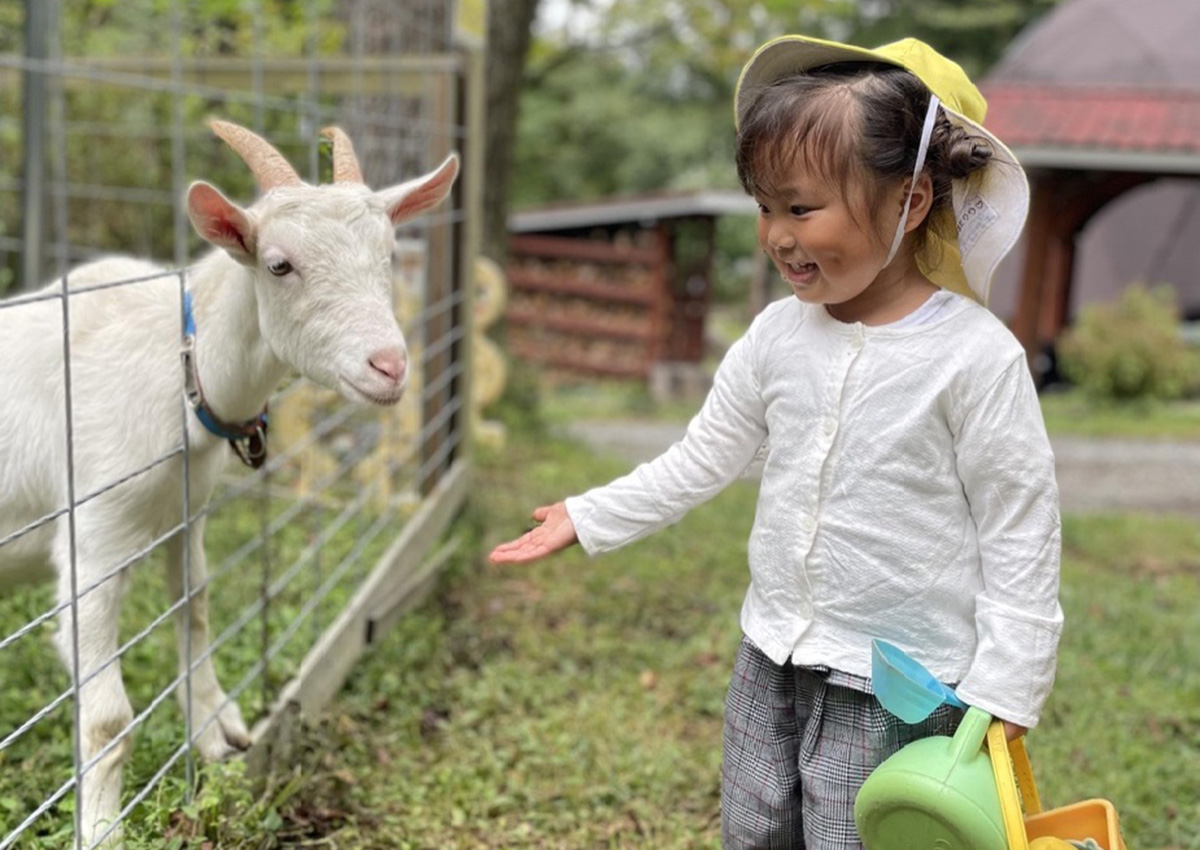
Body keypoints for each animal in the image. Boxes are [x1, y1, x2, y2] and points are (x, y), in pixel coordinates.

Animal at [0, 117, 458, 845]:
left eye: (388, 253)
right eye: (279, 264)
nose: (388, 366)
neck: (183, 371)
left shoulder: (183, 511)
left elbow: (196, 607)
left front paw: (221, 733)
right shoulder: (93, 538)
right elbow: (106, 716)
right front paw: (100, 830)